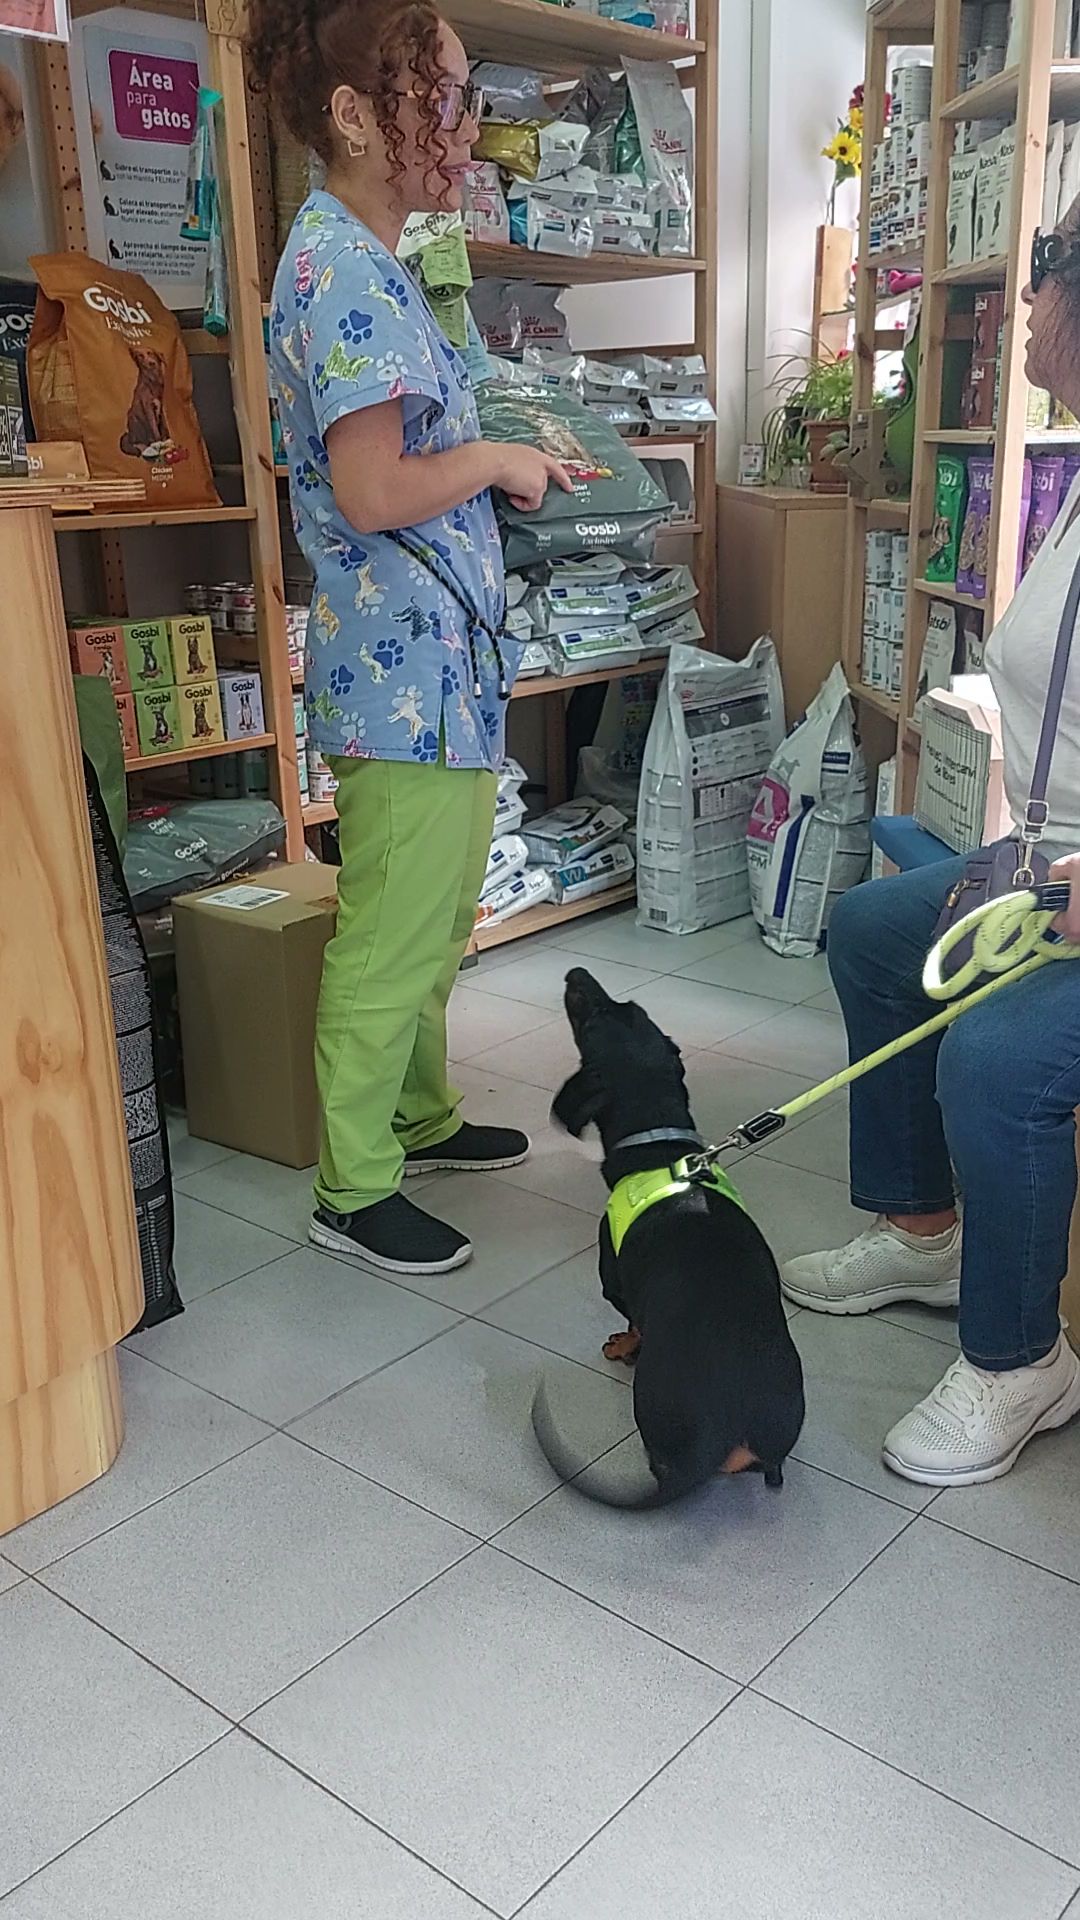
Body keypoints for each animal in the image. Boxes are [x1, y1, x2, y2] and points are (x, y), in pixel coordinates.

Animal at [532, 968, 805, 1508]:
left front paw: (621, 1344)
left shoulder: (614, 1281)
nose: (576, 973)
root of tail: (720, 1438)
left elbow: (634, 1320)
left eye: (593, 1018)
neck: (660, 1147)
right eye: (632, 1008)